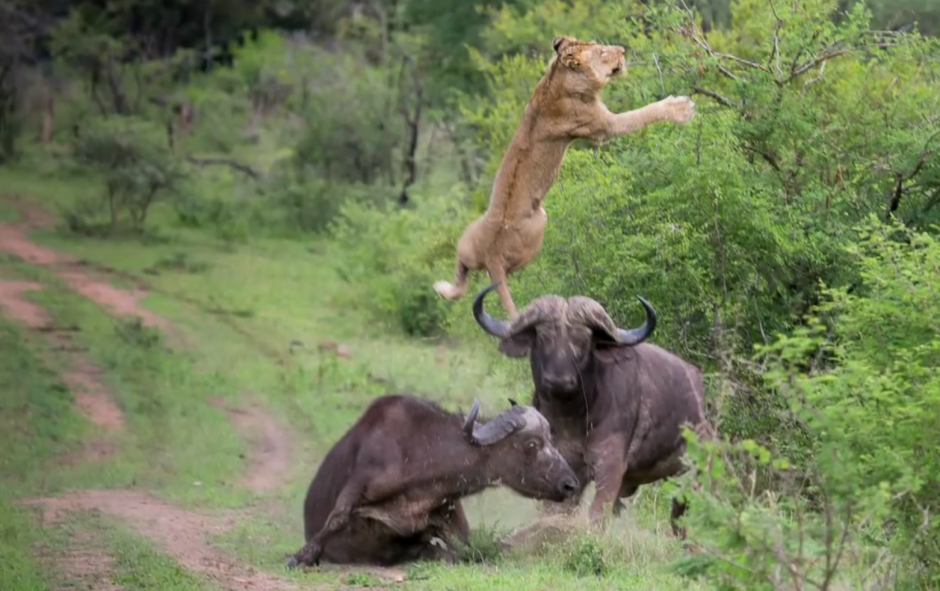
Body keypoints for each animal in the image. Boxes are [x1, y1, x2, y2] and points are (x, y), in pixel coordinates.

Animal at [286, 393, 580, 568]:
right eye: (532, 444)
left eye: (551, 439)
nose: (570, 484)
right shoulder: (361, 481)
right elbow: (337, 518)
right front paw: (302, 556)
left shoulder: (449, 512)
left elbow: (470, 547)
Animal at [433, 35, 696, 318]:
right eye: (602, 52)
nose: (623, 50)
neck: (557, 79)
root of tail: (492, 257)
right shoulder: (604, 127)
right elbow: (644, 112)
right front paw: (682, 108)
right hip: (539, 224)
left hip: (467, 242)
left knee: (461, 276)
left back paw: (442, 288)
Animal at [471, 283, 712, 537]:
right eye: (544, 337)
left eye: (582, 342)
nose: (559, 380)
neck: (572, 419)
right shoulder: (565, 467)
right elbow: (555, 509)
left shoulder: (610, 466)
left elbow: (597, 514)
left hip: (692, 476)